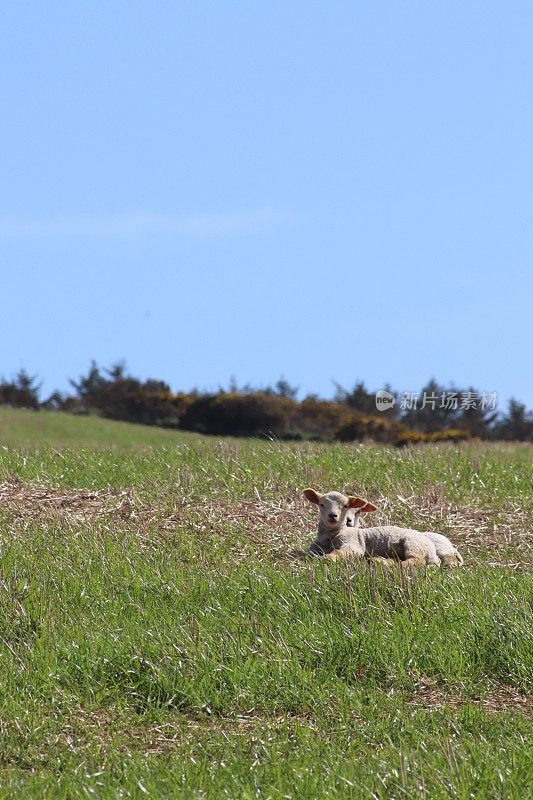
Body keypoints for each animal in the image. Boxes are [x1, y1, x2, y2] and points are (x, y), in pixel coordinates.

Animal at [304, 488, 462, 568]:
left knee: (415, 561)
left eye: (345, 506)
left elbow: (340, 552)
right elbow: (310, 552)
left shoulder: (353, 544)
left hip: (414, 544)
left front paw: (328, 558)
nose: (333, 516)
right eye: (321, 504)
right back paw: (378, 561)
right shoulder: (314, 547)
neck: (331, 536)